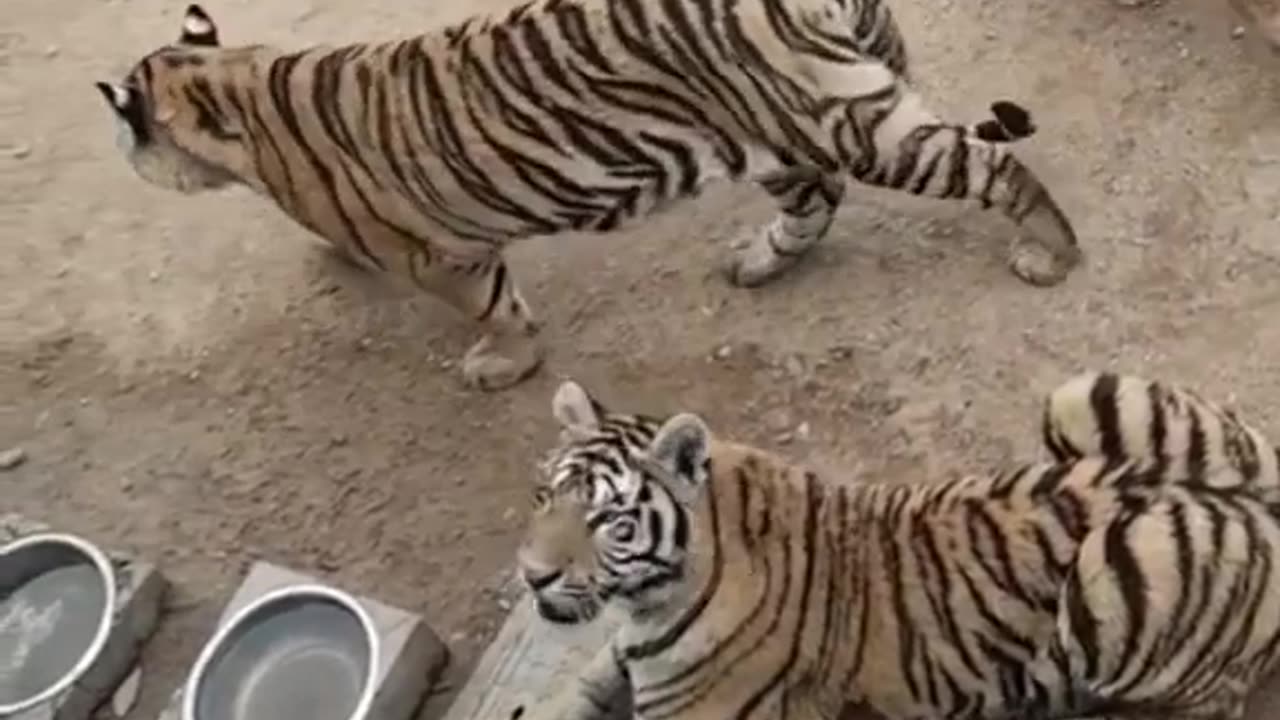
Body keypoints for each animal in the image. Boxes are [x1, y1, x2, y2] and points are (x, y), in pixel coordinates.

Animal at [94, 2, 1085, 389]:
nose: (125, 151)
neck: (234, 82)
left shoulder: (441, 255)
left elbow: (492, 307)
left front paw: (503, 364)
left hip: (850, 126)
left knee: (990, 168)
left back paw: (1052, 254)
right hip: (773, 133)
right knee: (818, 198)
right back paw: (761, 262)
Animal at [514, 371, 1280, 717]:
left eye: (609, 522)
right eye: (543, 495)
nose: (531, 577)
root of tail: (1266, 502)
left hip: (1122, 564)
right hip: (1080, 394)